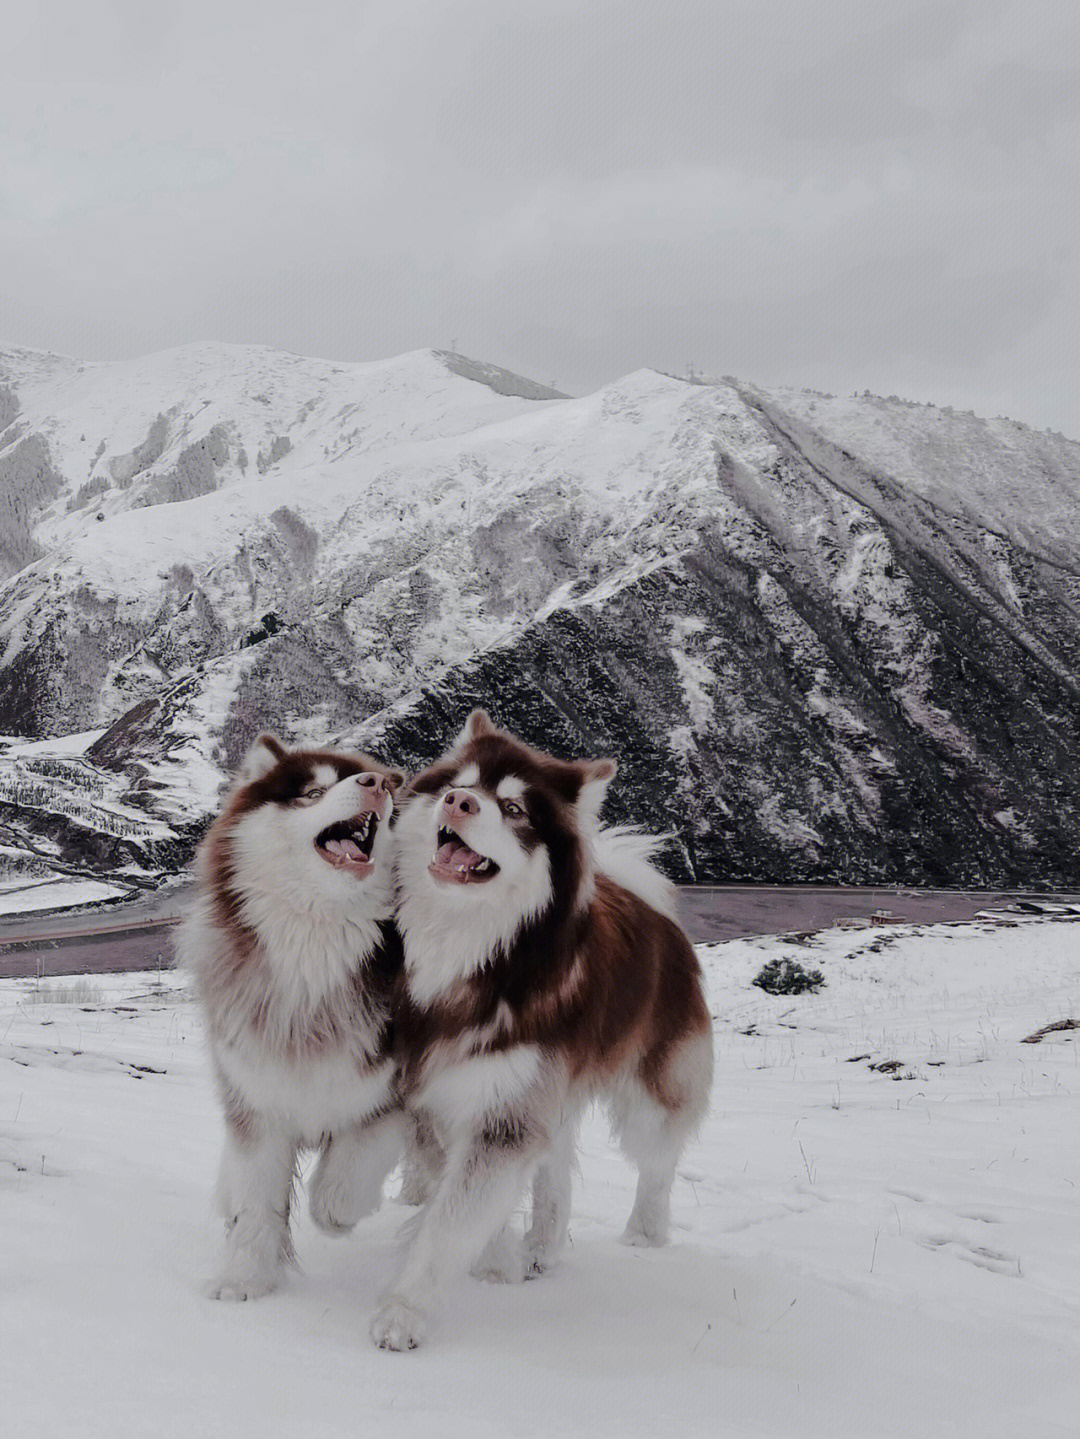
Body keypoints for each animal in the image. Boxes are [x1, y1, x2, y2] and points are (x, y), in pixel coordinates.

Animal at [179, 736, 408, 1300]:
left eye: (387, 793)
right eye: (313, 792)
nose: (380, 783)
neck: (315, 945)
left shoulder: (395, 1090)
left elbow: (350, 1166)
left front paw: (334, 1211)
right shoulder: (257, 1097)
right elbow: (256, 1201)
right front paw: (245, 1280)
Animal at [373, 713, 719, 1352]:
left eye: (513, 808)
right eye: (456, 785)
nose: (459, 803)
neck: (464, 950)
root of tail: (652, 907)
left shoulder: (503, 1110)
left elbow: (451, 1221)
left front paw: (403, 1313)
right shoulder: (432, 1097)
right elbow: (459, 1198)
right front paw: (499, 1261)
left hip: (651, 1089)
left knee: (658, 1159)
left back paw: (645, 1232)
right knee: (555, 1166)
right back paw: (542, 1246)